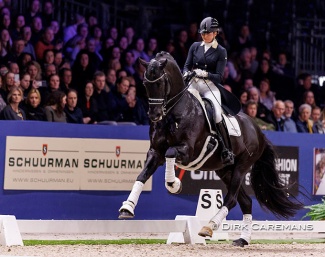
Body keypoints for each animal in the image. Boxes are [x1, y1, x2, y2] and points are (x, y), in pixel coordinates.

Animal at [118, 51, 302, 246]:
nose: (154, 115)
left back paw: (209, 227)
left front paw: (174, 184)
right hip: (225, 170)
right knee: (245, 202)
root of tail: (258, 130)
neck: (176, 112)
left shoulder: (187, 151)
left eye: (160, 83)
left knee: (232, 199)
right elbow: (142, 176)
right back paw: (242, 240)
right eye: (145, 84)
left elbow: (170, 153)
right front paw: (127, 208)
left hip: (241, 167)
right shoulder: (155, 152)